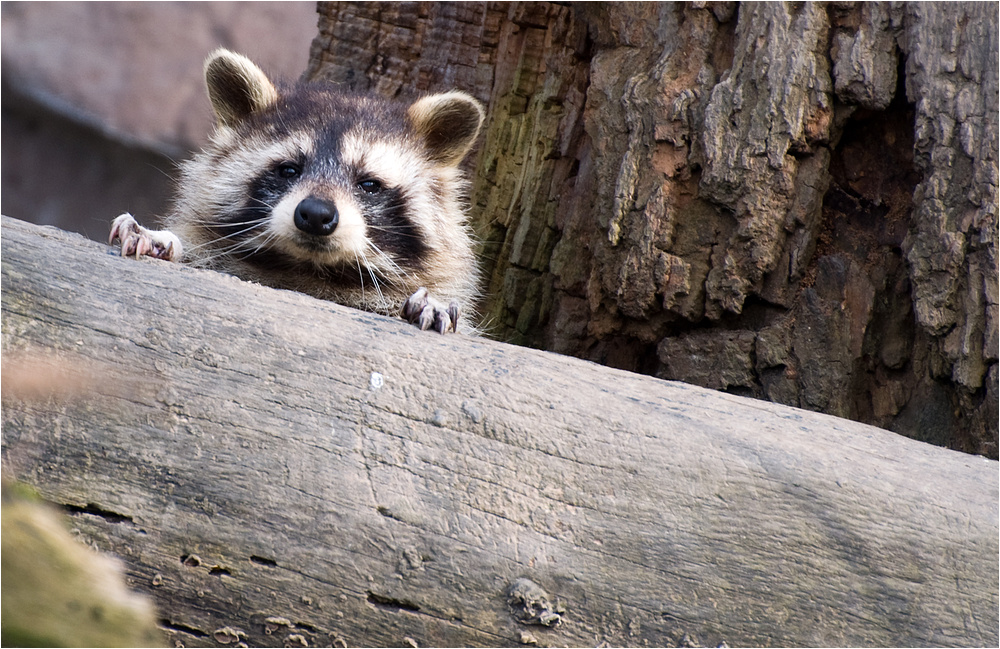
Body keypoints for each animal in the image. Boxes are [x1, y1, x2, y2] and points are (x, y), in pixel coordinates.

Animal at [109, 49, 484, 334]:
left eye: (369, 184)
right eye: (288, 169)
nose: (316, 215)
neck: (309, 270)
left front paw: (426, 302)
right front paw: (161, 240)